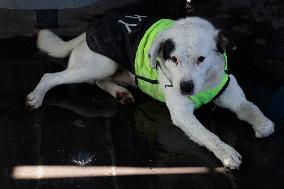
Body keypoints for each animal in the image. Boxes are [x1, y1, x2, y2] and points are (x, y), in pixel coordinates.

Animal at [25, 14, 274, 169]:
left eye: (201, 59)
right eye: (173, 59)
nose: (185, 87)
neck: (204, 84)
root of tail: (85, 33)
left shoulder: (233, 96)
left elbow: (255, 113)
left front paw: (261, 125)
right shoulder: (182, 115)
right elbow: (209, 135)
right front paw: (226, 152)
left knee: (99, 81)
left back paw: (120, 92)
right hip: (101, 63)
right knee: (52, 77)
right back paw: (36, 96)